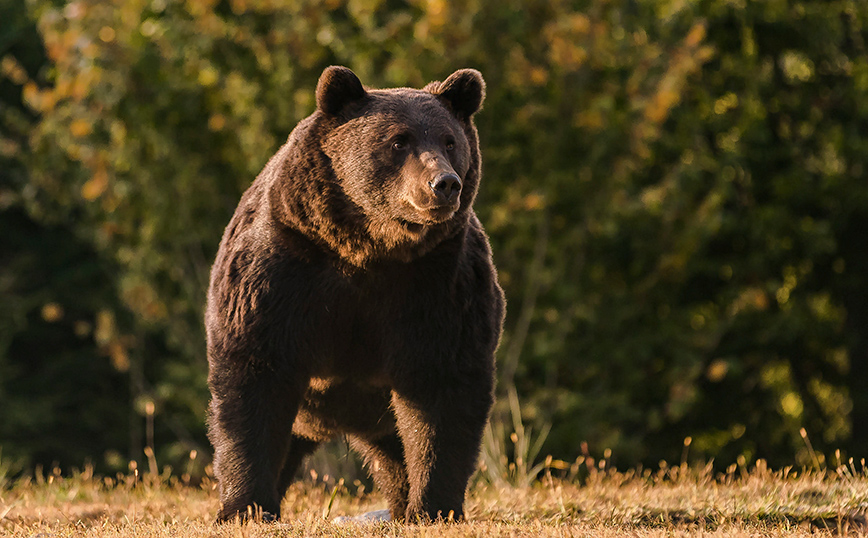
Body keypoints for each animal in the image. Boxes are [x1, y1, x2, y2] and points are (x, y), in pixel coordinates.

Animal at [205, 65, 502, 520]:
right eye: (399, 140)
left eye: (450, 141)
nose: (444, 184)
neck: (369, 248)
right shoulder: (282, 270)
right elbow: (254, 378)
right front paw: (244, 506)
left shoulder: (439, 284)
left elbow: (442, 389)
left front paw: (434, 506)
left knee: (396, 453)